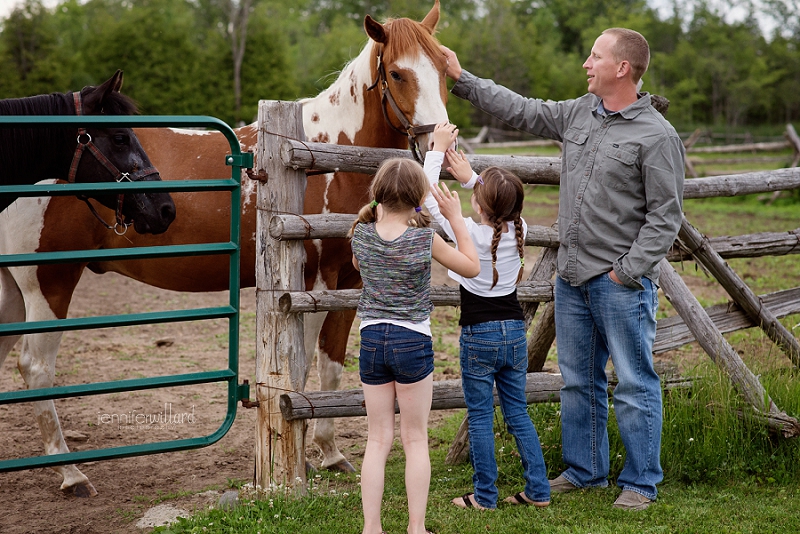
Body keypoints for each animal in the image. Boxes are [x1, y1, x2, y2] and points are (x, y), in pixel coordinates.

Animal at [0, 2, 450, 500]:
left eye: (446, 69)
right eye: (397, 73)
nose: (435, 144)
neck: (327, 154)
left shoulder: (350, 283)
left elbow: (333, 368)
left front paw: (331, 454)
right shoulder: (311, 283)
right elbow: (301, 369)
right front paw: (302, 457)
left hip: (12, 288)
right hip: (48, 283)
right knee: (36, 368)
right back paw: (72, 473)